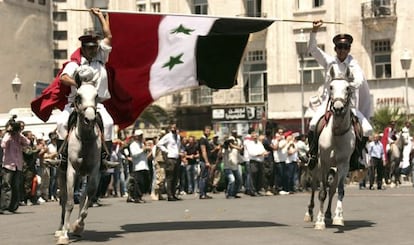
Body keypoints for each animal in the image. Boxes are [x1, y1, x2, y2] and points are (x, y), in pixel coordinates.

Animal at [55, 81, 101, 245]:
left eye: (96, 96)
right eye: (79, 96)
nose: (90, 119)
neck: (85, 139)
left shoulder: (94, 170)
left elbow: (90, 195)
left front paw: (78, 226)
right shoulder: (71, 170)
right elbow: (69, 202)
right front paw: (64, 235)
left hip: (84, 174)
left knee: (82, 196)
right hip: (61, 175)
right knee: (63, 199)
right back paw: (61, 228)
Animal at [304, 64, 356, 230]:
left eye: (348, 88)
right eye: (331, 87)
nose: (338, 108)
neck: (336, 134)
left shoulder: (343, 164)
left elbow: (339, 190)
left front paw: (338, 217)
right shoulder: (324, 162)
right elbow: (322, 193)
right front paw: (319, 221)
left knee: (331, 189)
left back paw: (327, 214)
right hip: (316, 166)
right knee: (315, 186)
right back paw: (310, 213)